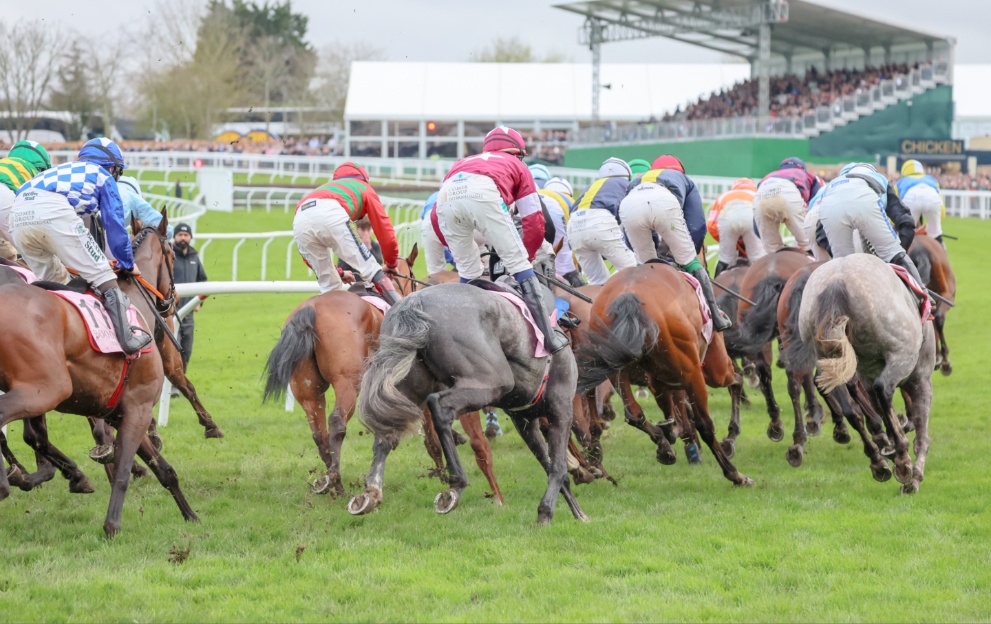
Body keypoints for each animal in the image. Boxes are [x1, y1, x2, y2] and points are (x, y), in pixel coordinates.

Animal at [0, 219, 200, 536]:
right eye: (170, 251)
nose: (173, 300)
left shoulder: (123, 410)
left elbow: (164, 470)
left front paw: (190, 515)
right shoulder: (138, 407)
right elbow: (123, 469)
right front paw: (112, 525)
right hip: (47, 388)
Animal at [264, 246, 504, 504]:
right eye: (412, 275)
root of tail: (310, 310)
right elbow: (430, 431)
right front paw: (444, 467)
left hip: (306, 389)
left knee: (319, 433)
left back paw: (330, 481)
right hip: (348, 382)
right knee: (337, 423)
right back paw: (336, 481)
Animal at [346, 280, 584, 524]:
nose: (575, 320)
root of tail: (413, 302)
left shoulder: (523, 420)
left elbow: (547, 462)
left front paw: (575, 511)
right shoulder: (560, 409)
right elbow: (558, 467)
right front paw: (550, 512)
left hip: (409, 385)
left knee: (387, 433)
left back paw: (371, 492)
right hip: (490, 382)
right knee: (439, 406)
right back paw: (456, 484)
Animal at [572, 264, 752, 488]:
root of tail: (629, 295)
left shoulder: (656, 377)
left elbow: (668, 408)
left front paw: (669, 438)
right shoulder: (701, 366)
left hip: (617, 365)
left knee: (634, 414)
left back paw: (664, 444)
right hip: (704, 370)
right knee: (712, 413)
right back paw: (734, 471)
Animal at [796, 254, 932, 492]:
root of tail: (836, 282)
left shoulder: (867, 376)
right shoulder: (921, 380)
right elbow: (921, 435)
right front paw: (914, 476)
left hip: (828, 352)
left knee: (843, 399)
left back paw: (878, 461)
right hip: (900, 356)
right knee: (883, 389)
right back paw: (901, 457)